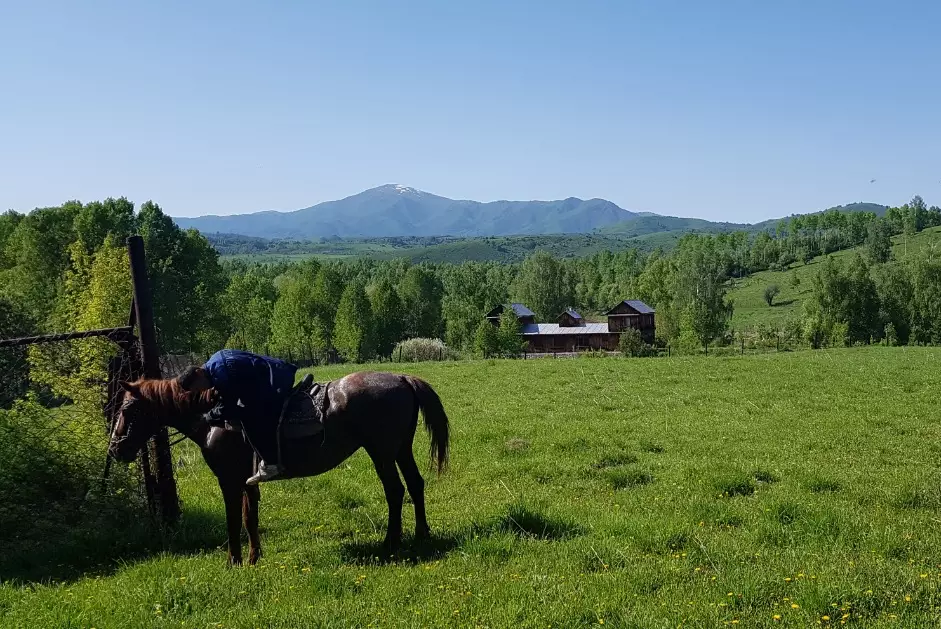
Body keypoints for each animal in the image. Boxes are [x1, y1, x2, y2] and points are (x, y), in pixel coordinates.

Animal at [108, 370, 450, 568]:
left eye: (127, 408)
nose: (115, 449)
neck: (213, 419)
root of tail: (403, 378)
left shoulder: (228, 480)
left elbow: (233, 521)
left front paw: (233, 562)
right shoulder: (247, 481)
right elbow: (250, 519)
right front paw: (254, 558)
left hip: (381, 453)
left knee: (395, 491)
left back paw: (391, 541)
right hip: (400, 450)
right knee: (415, 484)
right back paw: (421, 533)